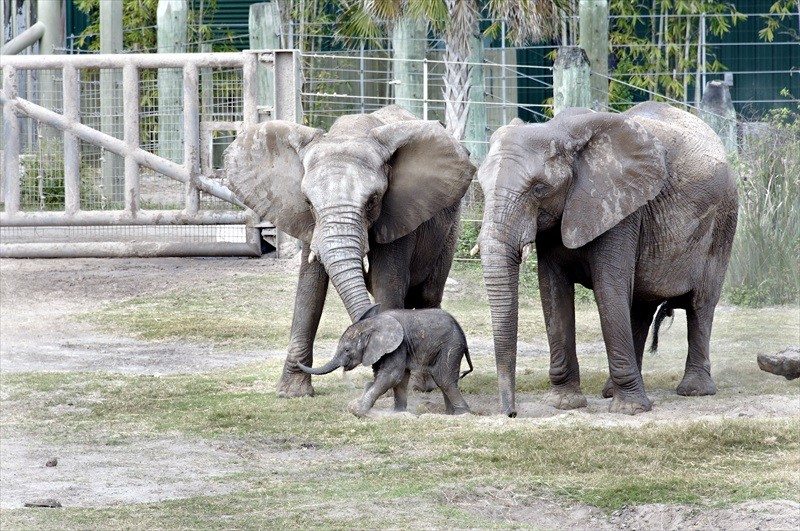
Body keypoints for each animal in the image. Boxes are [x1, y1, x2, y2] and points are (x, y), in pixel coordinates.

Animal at [225, 107, 476, 400]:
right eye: (308, 202)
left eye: (372, 201)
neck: (350, 133)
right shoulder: (309, 224)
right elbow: (309, 290)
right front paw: (292, 393)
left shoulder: (397, 213)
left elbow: (386, 283)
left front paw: (387, 386)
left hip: (450, 226)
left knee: (428, 294)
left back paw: (421, 385)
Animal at [296, 306, 472, 418]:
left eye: (347, 350)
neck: (372, 324)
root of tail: (460, 329)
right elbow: (400, 379)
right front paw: (398, 413)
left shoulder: (398, 345)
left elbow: (392, 375)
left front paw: (358, 410)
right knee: (441, 378)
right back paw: (450, 414)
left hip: (451, 345)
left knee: (444, 378)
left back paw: (462, 414)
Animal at [472, 103, 740, 416]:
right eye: (481, 185)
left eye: (539, 188)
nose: (511, 413)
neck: (559, 131)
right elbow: (553, 292)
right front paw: (565, 404)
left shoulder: (620, 208)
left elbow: (608, 288)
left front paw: (630, 410)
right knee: (640, 306)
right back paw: (612, 390)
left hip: (723, 222)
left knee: (701, 304)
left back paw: (693, 391)